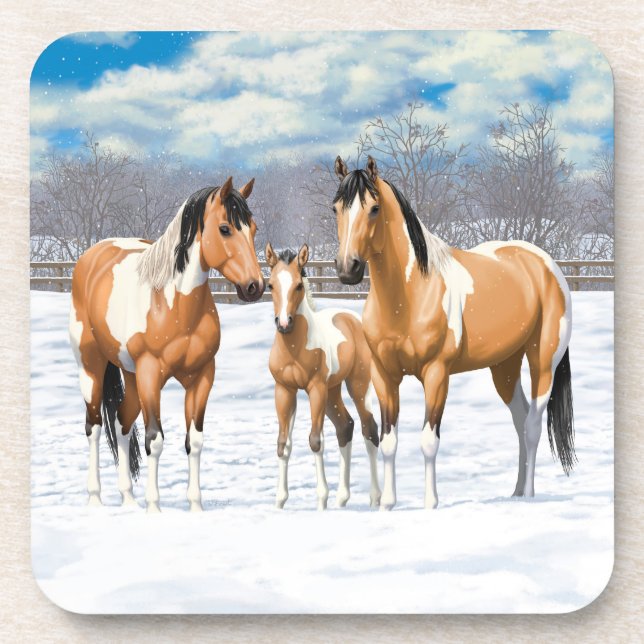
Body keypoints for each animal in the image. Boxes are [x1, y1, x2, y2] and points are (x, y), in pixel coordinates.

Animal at [69, 177, 265, 512]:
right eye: (225, 228)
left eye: (252, 229)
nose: (255, 286)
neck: (173, 304)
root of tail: (91, 256)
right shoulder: (151, 374)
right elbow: (155, 440)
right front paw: (154, 508)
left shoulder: (201, 376)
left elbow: (194, 441)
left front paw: (195, 506)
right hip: (91, 366)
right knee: (93, 426)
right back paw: (95, 499)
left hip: (131, 375)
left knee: (121, 423)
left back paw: (128, 498)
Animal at [265, 243, 381, 510]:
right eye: (271, 285)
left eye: (299, 284)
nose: (284, 323)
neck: (295, 348)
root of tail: (353, 319)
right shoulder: (284, 390)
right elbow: (283, 443)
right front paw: (279, 501)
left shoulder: (315, 389)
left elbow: (315, 440)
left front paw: (321, 500)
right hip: (332, 392)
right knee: (345, 426)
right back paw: (342, 498)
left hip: (356, 386)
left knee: (369, 428)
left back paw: (375, 498)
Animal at [332, 155, 575, 510]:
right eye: (335, 208)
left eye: (374, 208)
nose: (346, 268)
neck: (409, 295)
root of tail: (546, 264)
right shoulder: (384, 375)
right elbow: (389, 440)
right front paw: (388, 504)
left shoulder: (436, 374)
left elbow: (428, 440)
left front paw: (430, 504)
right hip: (504, 367)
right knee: (520, 420)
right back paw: (515, 492)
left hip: (543, 362)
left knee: (532, 425)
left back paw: (529, 494)